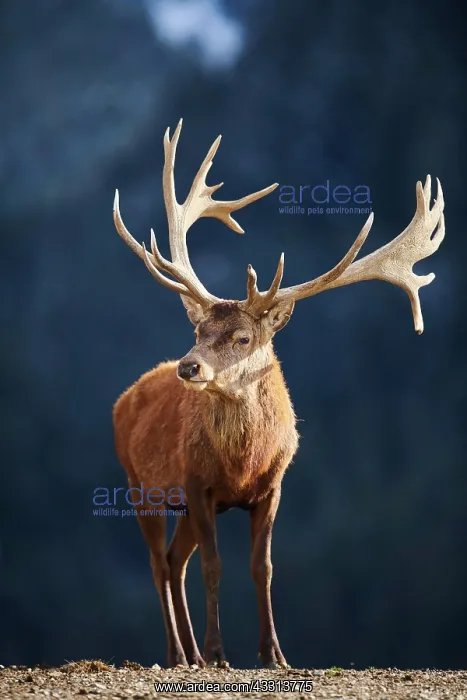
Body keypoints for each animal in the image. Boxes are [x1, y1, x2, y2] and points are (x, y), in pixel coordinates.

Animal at [112, 119, 445, 669]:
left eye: (243, 337)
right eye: (199, 329)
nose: (188, 365)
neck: (242, 463)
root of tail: (124, 398)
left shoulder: (273, 486)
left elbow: (262, 567)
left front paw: (274, 655)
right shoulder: (197, 483)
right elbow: (215, 567)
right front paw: (220, 653)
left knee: (174, 561)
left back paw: (191, 655)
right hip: (140, 484)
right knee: (160, 564)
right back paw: (181, 654)